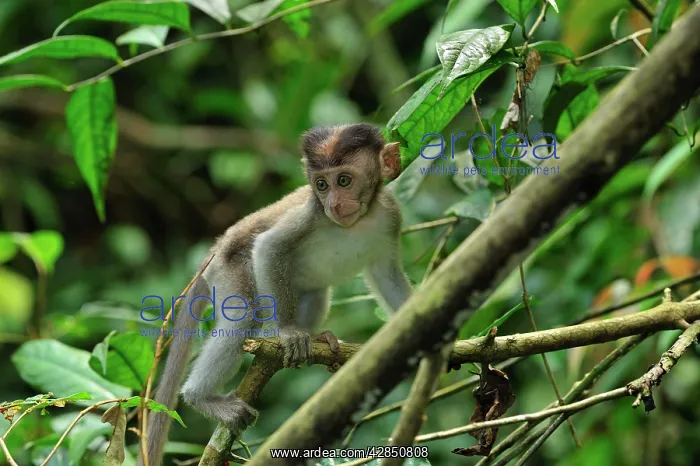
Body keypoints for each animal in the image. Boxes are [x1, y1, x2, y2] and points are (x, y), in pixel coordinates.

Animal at [141, 123, 413, 466]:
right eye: (321, 185)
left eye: (344, 180)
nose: (334, 204)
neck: (359, 221)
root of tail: (214, 252)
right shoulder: (311, 213)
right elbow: (269, 247)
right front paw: (288, 333)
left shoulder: (390, 216)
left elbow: (387, 275)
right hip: (232, 271)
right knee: (243, 317)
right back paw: (201, 397)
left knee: (316, 293)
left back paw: (316, 337)